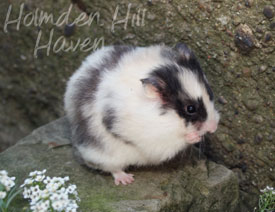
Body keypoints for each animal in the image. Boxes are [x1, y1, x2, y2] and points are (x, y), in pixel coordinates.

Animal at [64, 44, 220, 185]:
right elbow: (177, 140)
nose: (213, 128)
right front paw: (195, 137)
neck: (170, 118)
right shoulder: (154, 138)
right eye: (190, 109)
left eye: (210, 93)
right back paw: (126, 180)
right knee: (112, 168)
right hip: (101, 154)